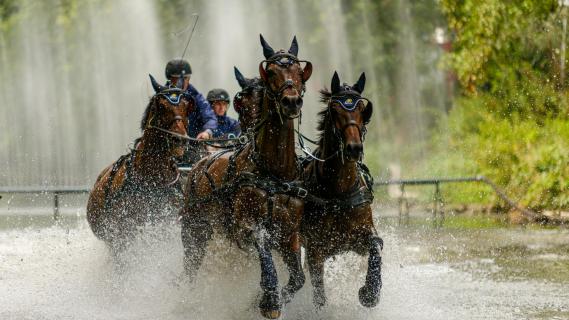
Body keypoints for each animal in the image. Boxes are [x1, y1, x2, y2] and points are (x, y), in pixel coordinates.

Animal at [180, 35, 312, 318]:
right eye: (271, 72)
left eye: (299, 71)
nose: (291, 101)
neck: (274, 171)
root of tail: (198, 165)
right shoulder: (246, 228)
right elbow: (264, 249)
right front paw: (270, 299)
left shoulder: (290, 233)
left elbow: (297, 279)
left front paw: (263, 300)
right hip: (195, 232)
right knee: (190, 268)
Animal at [302, 72, 382, 308]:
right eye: (335, 110)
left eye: (362, 110)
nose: (354, 148)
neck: (339, 193)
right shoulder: (315, 250)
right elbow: (319, 295)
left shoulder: (361, 236)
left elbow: (375, 246)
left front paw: (369, 293)